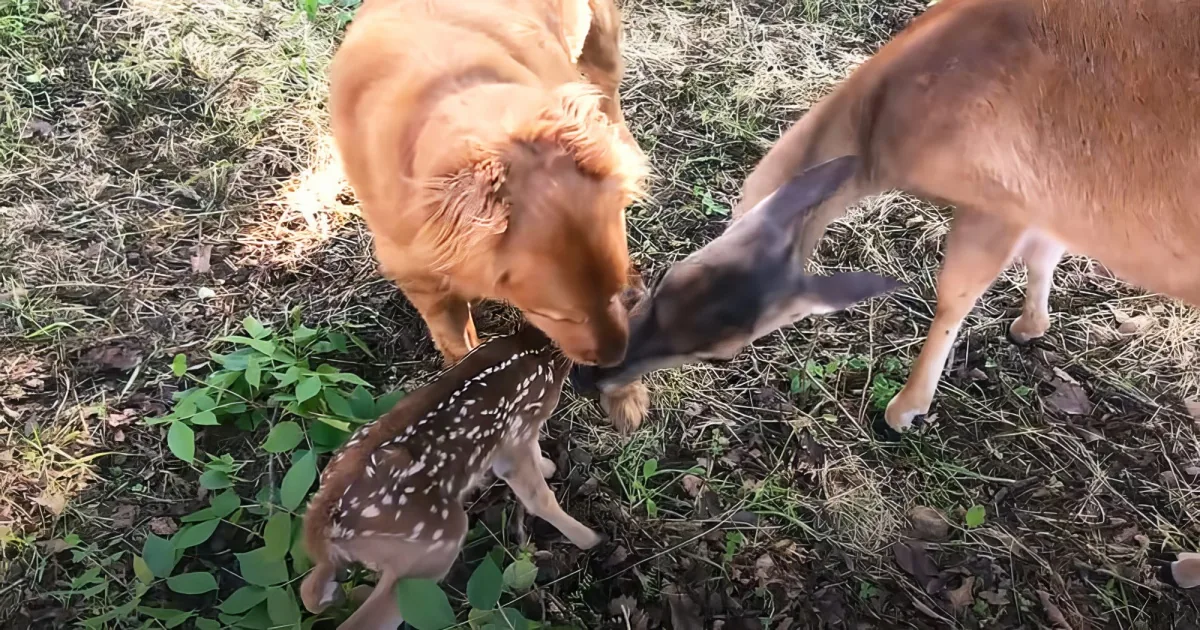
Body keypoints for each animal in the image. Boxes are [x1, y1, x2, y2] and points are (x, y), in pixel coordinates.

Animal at [300, 325, 602, 629]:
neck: (539, 349)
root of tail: (321, 522)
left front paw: (549, 467)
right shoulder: (519, 429)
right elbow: (539, 497)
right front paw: (590, 539)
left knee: (311, 591)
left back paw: (345, 593)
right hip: (438, 541)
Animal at [576, 0, 1200, 434]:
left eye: (722, 352)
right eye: (665, 279)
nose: (595, 373)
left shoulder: (1001, 201)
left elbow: (956, 292)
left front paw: (905, 409)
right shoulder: (1046, 209)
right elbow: (1044, 254)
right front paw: (1031, 326)